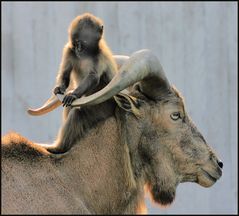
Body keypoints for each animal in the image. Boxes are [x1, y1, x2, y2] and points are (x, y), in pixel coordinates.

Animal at [45, 12, 117, 154]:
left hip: (102, 109)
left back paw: (59, 148)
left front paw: (73, 94)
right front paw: (59, 89)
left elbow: (93, 77)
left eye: (82, 43)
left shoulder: (99, 55)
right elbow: (65, 73)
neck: (86, 55)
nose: (78, 49)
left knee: (77, 113)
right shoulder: (69, 50)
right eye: (75, 43)